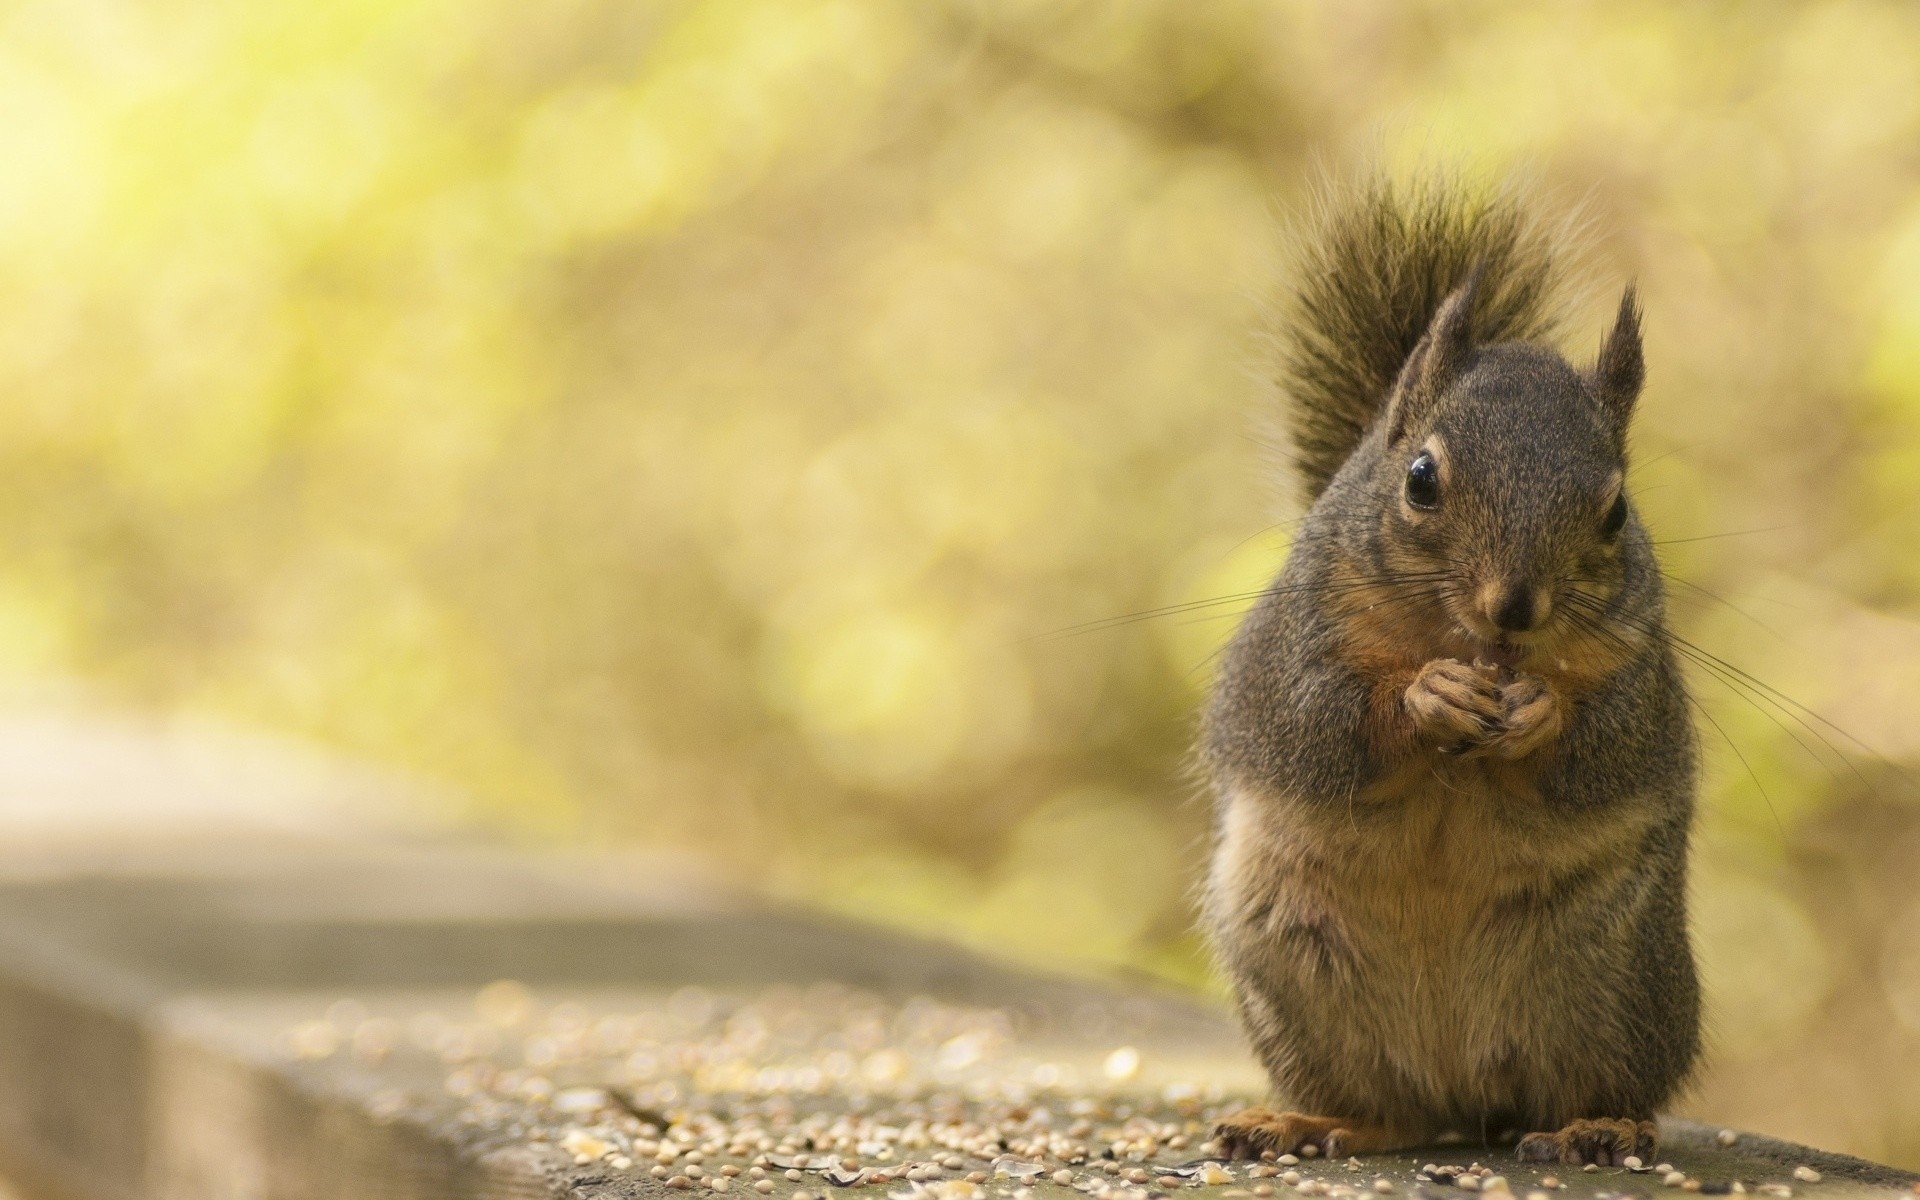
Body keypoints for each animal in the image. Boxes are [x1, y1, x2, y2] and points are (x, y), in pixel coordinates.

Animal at [1201, 176, 1700, 1167]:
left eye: (1617, 511)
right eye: (1421, 478)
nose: (1515, 610)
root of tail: (1467, 1097)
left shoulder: (1643, 681)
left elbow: (1605, 748)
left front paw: (1540, 711)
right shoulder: (1290, 652)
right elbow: (1318, 724)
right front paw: (1426, 698)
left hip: (1616, 979)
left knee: (1591, 1087)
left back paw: (1599, 1125)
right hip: (1298, 971)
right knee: (1391, 1112)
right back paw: (1307, 1122)